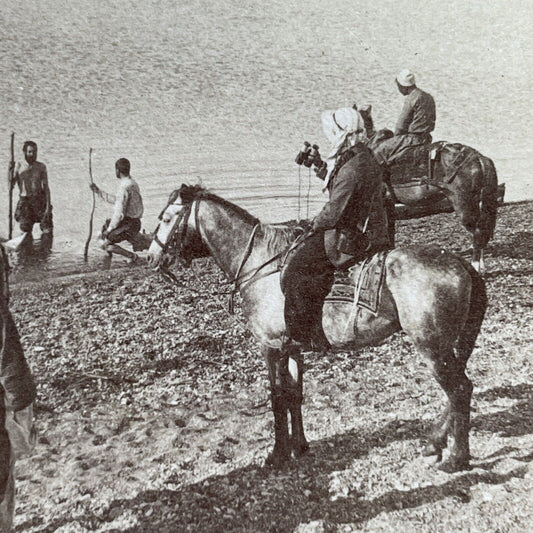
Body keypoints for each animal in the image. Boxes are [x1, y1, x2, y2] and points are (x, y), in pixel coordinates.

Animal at [147, 185, 486, 472]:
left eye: (166, 218)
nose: (150, 256)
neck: (260, 264)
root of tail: (461, 264)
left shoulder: (272, 347)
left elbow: (278, 398)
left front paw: (278, 454)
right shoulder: (293, 348)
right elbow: (295, 395)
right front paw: (299, 446)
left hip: (432, 346)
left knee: (459, 390)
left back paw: (457, 457)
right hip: (446, 347)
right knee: (458, 389)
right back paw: (436, 440)